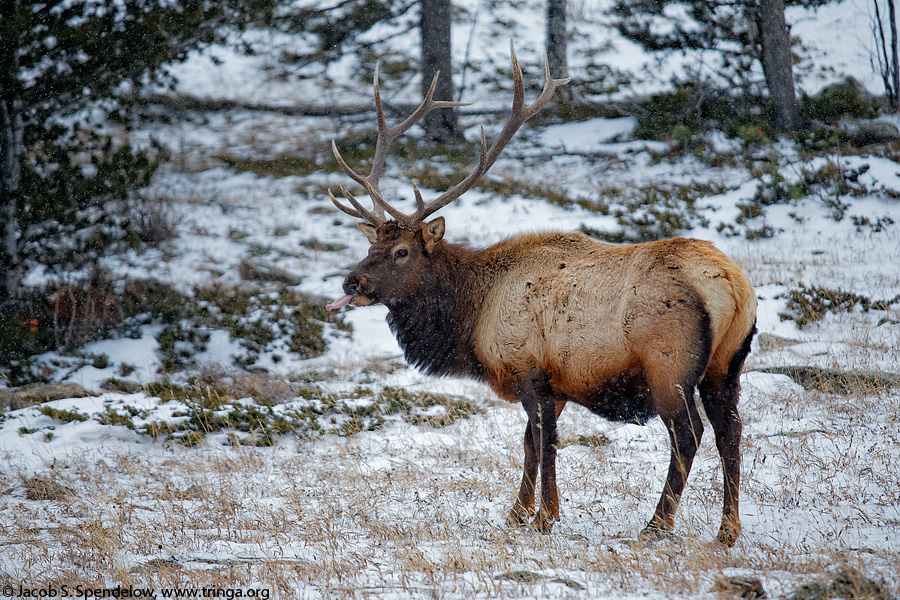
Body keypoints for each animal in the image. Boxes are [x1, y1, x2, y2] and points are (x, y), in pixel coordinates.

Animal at [326, 44, 756, 548]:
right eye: (369, 246)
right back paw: (727, 530)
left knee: (688, 434)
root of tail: (732, 285)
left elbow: (543, 441)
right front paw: (518, 512)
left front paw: (544, 516)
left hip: (669, 362)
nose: (350, 283)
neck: (472, 316)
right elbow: (531, 442)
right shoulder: (556, 383)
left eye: (401, 252)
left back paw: (656, 524)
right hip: (727, 363)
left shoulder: (529, 369)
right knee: (732, 431)